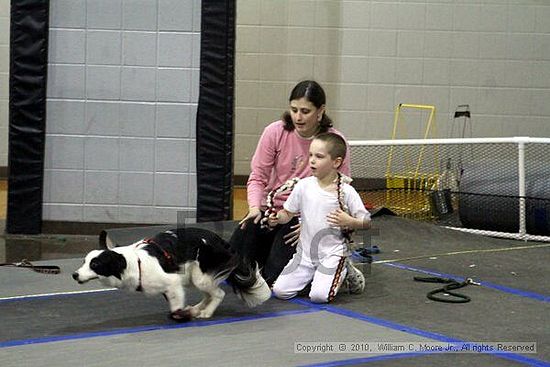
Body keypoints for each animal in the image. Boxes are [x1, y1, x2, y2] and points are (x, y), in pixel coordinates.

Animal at [73, 227, 272, 322]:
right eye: (84, 262)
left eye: (95, 264)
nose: (74, 275)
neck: (133, 263)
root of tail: (222, 241)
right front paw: (188, 312)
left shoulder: (172, 283)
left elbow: (175, 310)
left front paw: (183, 315)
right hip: (193, 277)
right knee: (209, 294)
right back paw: (197, 308)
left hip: (200, 276)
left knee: (218, 293)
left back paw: (206, 312)